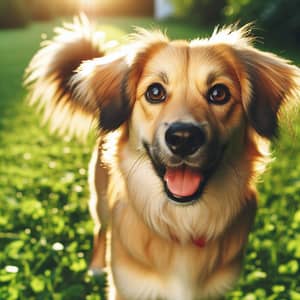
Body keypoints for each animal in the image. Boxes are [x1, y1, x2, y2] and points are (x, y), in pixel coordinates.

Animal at [24, 15, 298, 300]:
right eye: (155, 92)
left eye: (219, 93)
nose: (184, 137)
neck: (183, 224)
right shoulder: (127, 288)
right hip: (100, 201)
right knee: (100, 230)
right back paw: (96, 267)